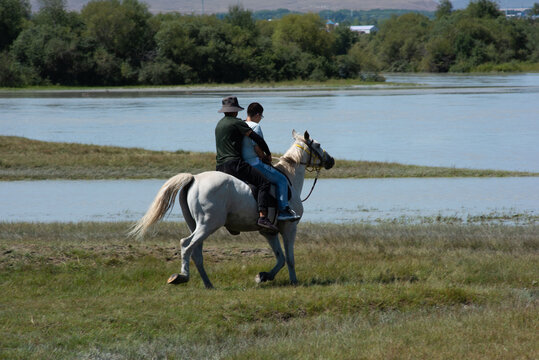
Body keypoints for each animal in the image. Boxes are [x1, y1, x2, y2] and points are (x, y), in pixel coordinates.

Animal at [130, 131, 334, 288]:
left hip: (196, 225)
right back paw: (182, 277)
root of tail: (194, 179)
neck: (289, 178)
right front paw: (293, 281)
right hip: (208, 224)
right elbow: (289, 258)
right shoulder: (289, 228)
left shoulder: (268, 232)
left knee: (196, 252)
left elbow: (280, 258)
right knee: (186, 245)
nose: (331, 160)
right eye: (318, 144)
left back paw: (208, 284)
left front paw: (263, 276)